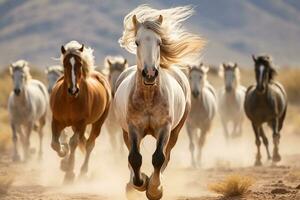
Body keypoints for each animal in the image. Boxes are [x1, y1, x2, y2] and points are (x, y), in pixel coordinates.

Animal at [50, 41, 111, 183]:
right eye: (65, 64)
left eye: (80, 64)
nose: (73, 90)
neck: (69, 101)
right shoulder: (56, 121)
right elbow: (54, 144)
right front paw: (64, 154)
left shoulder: (81, 123)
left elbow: (73, 143)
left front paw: (69, 173)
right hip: (74, 125)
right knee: (83, 141)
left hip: (97, 123)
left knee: (89, 144)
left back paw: (84, 171)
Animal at [115, 5, 204, 200]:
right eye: (137, 42)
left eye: (159, 42)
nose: (150, 74)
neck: (149, 97)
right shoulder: (133, 128)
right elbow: (135, 158)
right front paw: (139, 183)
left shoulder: (165, 128)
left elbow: (159, 158)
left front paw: (154, 189)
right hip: (125, 132)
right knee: (131, 155)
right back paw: (131, 184)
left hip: (175, 132)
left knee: (166, 155)